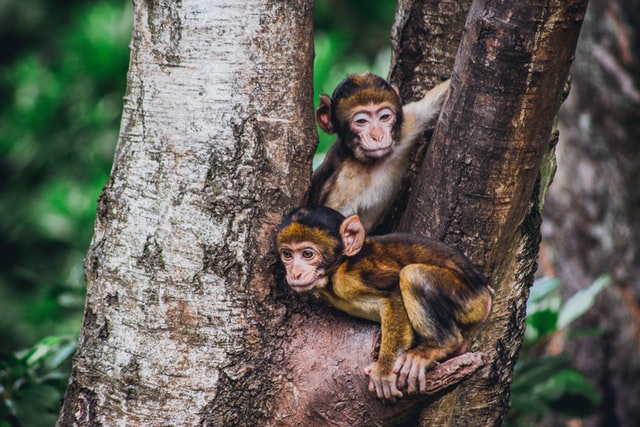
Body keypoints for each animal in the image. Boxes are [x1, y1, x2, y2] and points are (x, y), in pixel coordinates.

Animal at [276, 206, 492, 401]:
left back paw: (439, 345)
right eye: (287, 254)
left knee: (412, 274)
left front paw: (384, 370)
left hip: (468, 299)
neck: (335, 271)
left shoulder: (353, 275)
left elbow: (394, 289)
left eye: (307, 254)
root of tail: (484, 290)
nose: (295, 273)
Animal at [308, 72, 450, 232]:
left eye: (384, 117)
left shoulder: (406, 125)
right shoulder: (346, 182)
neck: (371, 162)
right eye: (361, 121)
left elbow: (432, 102)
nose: (378, 135)